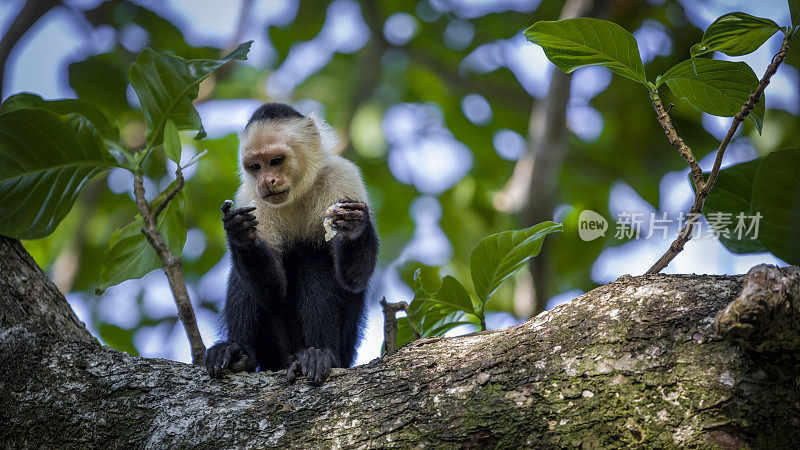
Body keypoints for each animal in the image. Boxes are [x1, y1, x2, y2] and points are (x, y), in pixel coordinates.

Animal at [206, 103, 382, 384]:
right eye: (255, 166)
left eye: (276, 161)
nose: (266, 181)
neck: (298, 193)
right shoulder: (250, 196)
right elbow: (272, 290)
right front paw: (241, 234)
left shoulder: (344, 177)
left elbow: (353, 278)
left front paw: (354, 226)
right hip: (272, 351)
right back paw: (237, 352)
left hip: (346, 346)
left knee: (313, 258)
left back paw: (317, 354)